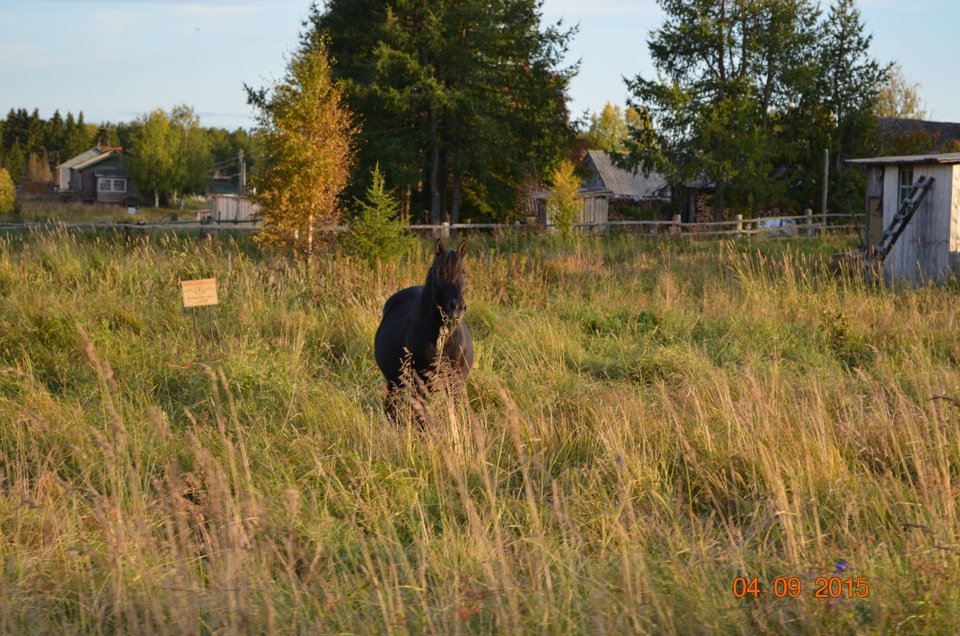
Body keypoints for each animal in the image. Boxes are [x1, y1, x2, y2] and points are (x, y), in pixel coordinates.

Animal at [378, 236, 476, 420]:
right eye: (438, 274)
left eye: (464, 273)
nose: (457, 307)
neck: (442, 340)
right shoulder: (418, 387)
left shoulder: (455, 384)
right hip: (394, 383)